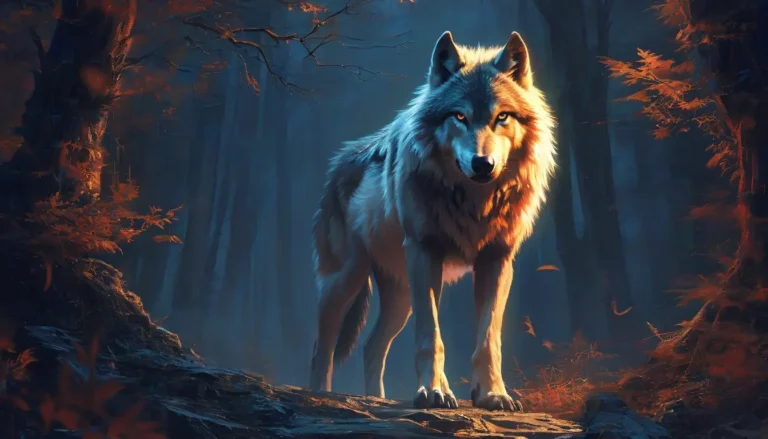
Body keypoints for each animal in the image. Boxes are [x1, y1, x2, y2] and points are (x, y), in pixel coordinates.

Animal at [309, 30, 556, 411]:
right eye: (459, 116)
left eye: (502, 116)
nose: (482, 163)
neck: (475, 203)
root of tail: (339, 162)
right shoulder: (425, 254)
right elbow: (431, 336)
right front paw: (434, 392)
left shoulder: (497, 260)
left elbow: (489, 339)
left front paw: (493, 395)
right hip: (344, 282)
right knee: (321, 349)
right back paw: (320, 396)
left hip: (400, 298)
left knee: (371, 347)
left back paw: (377, 399)